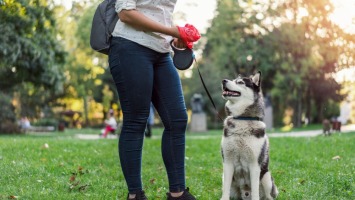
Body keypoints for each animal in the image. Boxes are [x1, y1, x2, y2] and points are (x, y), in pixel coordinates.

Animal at [221, 71, 280, 199]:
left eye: (240, 82)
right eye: (233, 79)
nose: (223, 80)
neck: (242, 119)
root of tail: (245, 193)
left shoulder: (254, 166)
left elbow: (255, 191)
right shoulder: (227, 162)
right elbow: (225, 190)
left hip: (267, 177)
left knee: (268, 196)